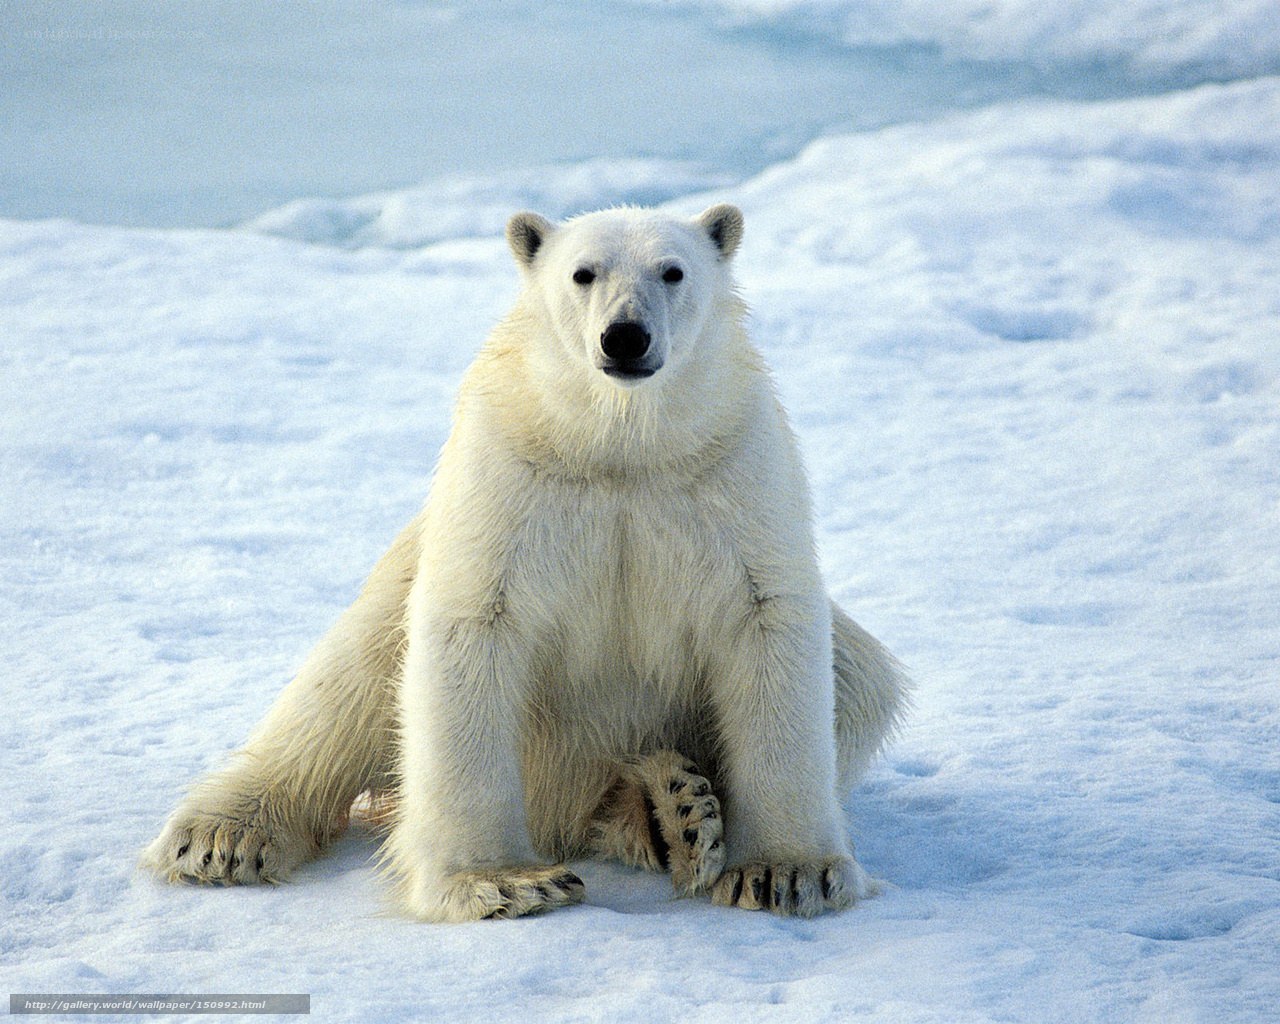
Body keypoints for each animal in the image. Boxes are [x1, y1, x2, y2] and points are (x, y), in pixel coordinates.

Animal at [142, 203, 910, 922]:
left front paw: (787, 872)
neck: (618, 446)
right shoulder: (510, 476)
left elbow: (767, 622)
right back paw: (221, 836)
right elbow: (473, 627)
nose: (625, 336)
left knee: (861, 677)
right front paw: (505, 883)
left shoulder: (732, 472)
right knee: (343, 689)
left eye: (672, 271)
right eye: (583, 273)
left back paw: (672, 810)